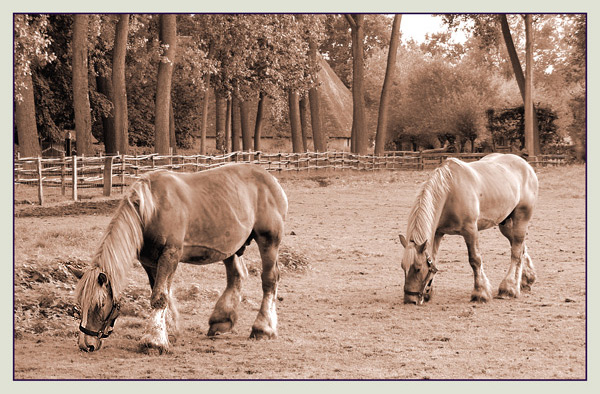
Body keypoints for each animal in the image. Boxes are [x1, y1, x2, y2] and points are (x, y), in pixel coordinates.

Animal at [74, 162, 290, 352]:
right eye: (80, 304)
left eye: (100, 304)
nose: (86, 344)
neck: (151, 209)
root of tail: (271, 179)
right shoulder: (149, 262)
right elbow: (162, 294)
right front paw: (168, 331)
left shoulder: (170, 254)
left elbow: (160, 297)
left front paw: (154, 341)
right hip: (230, 247)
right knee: (236, 277)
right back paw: (221, 321)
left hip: (269, 240)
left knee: (269, 279)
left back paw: (263, 328)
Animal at [398, 154, 540, 304]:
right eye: (403, 267)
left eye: (418, 269)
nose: (410, 299)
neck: (450, 191)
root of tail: (526, 165)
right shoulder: (438, 233)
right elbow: (434, 258)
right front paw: (428, 292)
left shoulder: (470, 231)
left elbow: (475, 260)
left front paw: (480, 293)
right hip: (505, 224)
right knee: (521, 247)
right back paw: (525, 280)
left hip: (521, 219)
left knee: (516, 252)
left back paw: (508, 288)